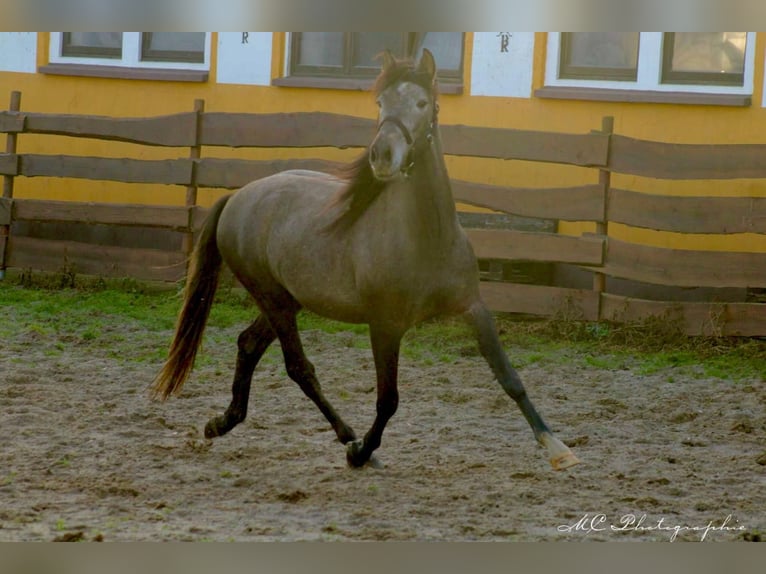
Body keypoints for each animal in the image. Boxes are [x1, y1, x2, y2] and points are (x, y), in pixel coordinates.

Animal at [153, 49, 580, 472]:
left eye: (422, 103)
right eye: (380, 103)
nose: (382, 156)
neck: (425, 237)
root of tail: (237, 197)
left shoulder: (473, 307)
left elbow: (509, 377)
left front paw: (557, 447)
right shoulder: (386, 325)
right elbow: (388, 399)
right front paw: (362, 452)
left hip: (287, 300)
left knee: (249, 344)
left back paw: (222, 423)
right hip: (273, 298)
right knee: (299, 368)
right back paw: (347, 437)